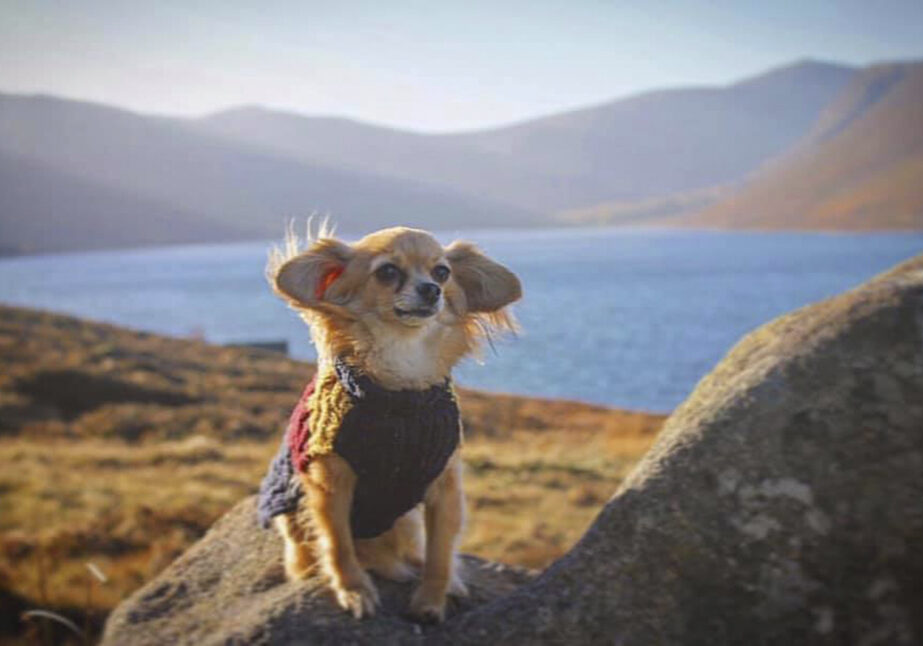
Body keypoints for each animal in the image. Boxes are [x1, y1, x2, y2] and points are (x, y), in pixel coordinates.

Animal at [256, 225, 524, 624]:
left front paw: (431, 600)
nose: (431, 289)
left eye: (442, 272)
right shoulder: (330, 485)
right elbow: (337, 545)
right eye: (387, 272)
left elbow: (440, 552)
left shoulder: (445, 486)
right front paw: (354, 591)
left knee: (415, 552)